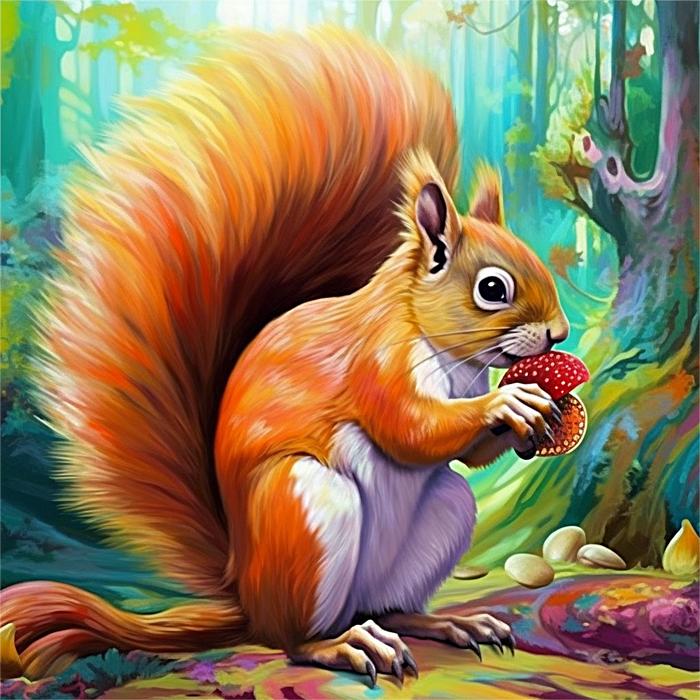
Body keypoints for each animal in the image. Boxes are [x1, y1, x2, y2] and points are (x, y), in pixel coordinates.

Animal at [0, 27, 570, 685]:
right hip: (305, 509)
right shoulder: (375, 362)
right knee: (293, 638)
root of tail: (245, 592)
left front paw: (532, 417)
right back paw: (345, 645)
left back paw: (445, 624)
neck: (448, 358)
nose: (560, 334)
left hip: (443, 514)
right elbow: (409, 428)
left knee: (392, 606)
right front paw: (511, 403)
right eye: (492, 289)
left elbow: (466, 456)